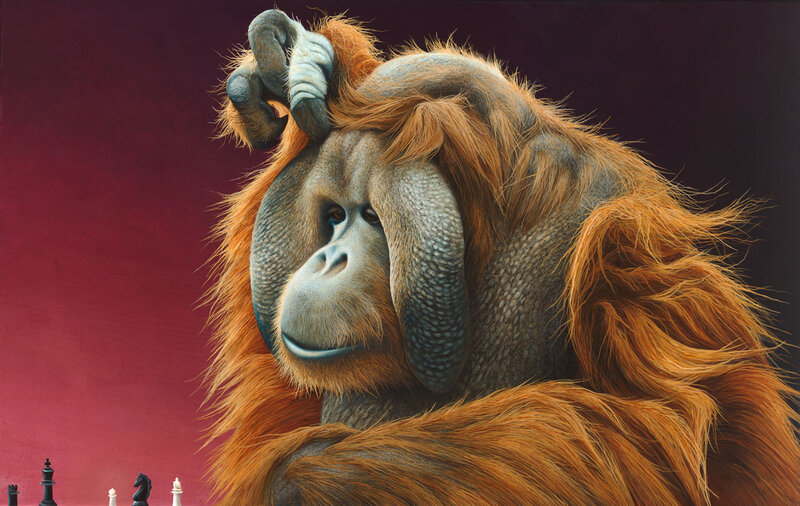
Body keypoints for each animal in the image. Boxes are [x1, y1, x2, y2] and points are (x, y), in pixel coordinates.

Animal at [203, 10, 800, 504]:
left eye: (372, 216)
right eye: (332, 216)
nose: (329, 257)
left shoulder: (626, 255)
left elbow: (668, 435)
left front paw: (302, 473)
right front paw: (300, 66)